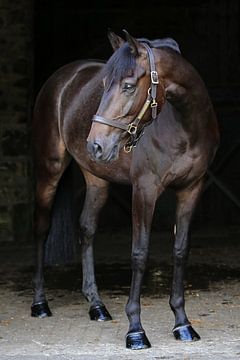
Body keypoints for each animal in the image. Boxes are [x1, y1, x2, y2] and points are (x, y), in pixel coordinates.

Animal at [30, 29, 219, 350]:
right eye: (104, 84)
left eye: (129, 86)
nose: (96, 144)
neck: (184, 125)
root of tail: (62, 77)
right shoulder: (144, 190)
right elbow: (139, 254)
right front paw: (136, 331)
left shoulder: (191, 190)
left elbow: (180, 251)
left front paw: (183, 324)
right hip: (50, 170)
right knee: (42, 229)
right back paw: (40, 304)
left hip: (97, 180)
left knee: (86, 229)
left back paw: (97, 305)